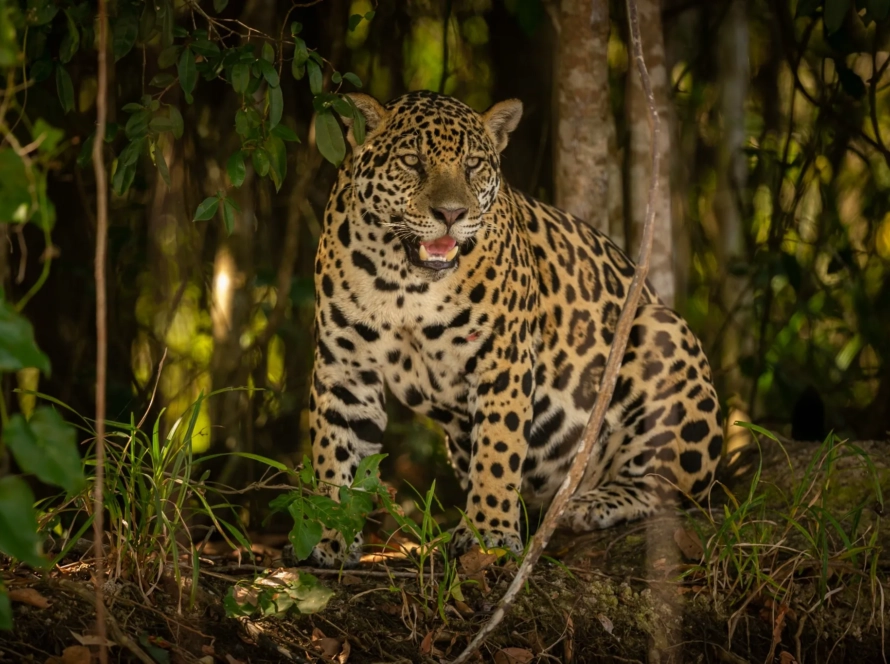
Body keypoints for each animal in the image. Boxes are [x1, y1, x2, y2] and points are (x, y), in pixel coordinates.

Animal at [301, 90, 723, 567]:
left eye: (472, 165)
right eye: (412, 161)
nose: (451, 213)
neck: (405, 282)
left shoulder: (502, 357)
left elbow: (498, 451)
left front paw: (489, 535)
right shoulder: (345, 368)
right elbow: (336, 453)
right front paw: (332, 533)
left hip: (660, 330)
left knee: (670, 488)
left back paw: (590, 503)